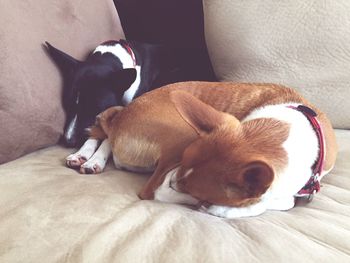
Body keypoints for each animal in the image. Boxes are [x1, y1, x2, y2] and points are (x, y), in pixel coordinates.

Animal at [65, 82, 336, 219]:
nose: (174, 181)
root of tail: (124, 116)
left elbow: (282, 200)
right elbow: (278, 202)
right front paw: (221, 208)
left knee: (105, 134)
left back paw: (89, 159)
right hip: (183, 134)